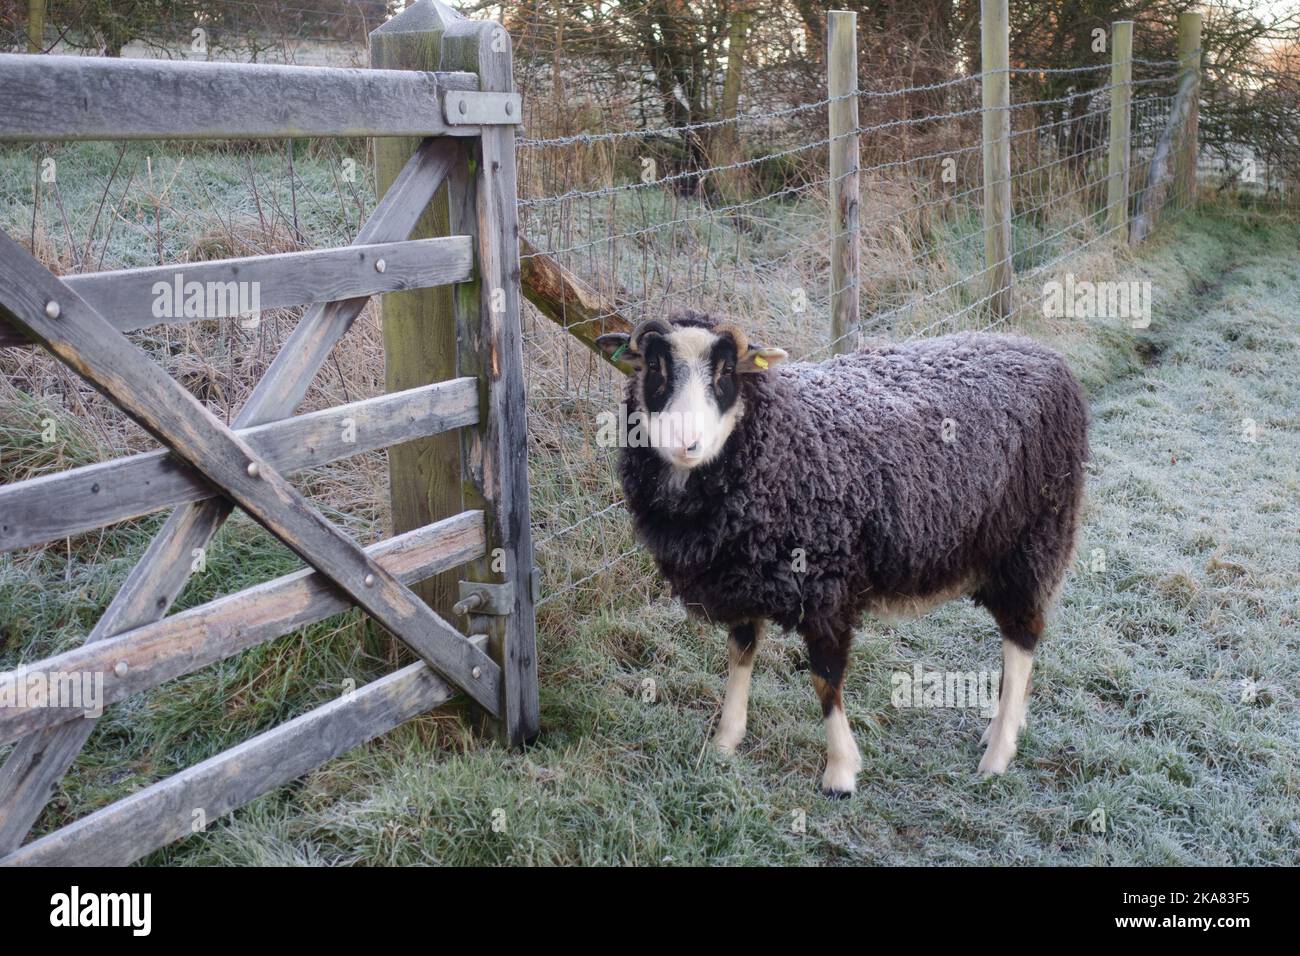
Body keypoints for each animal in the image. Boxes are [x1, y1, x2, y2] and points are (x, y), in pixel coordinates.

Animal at [596, 310, 1089, 795]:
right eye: (655, 367)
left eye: (727, 372)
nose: (685, 443)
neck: (784, 445)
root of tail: (1044, 355)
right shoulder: (741, 578)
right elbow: (740, 654)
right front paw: (725, 742)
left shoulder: (825, 586)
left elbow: (824, 678)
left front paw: (840, 773)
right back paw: (1004, 726)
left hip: (1034, 537)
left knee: (1022, 638)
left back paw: (999, 752)